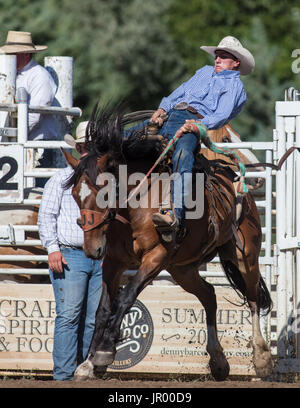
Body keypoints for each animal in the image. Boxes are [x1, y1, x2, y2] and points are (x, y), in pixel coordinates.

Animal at [62, 105, 274, 380]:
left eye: (105, 194)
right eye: (75, 195)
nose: (91, 248)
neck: (138, 204)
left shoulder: (156, 257)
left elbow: (126, 298)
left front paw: (105, 352)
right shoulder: (113, 261)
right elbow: (103, 309)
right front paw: (87, 364)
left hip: (245, 256)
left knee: (253, 298)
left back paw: (261, 358)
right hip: (182, 269)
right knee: (209, 295)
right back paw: (218, 362)